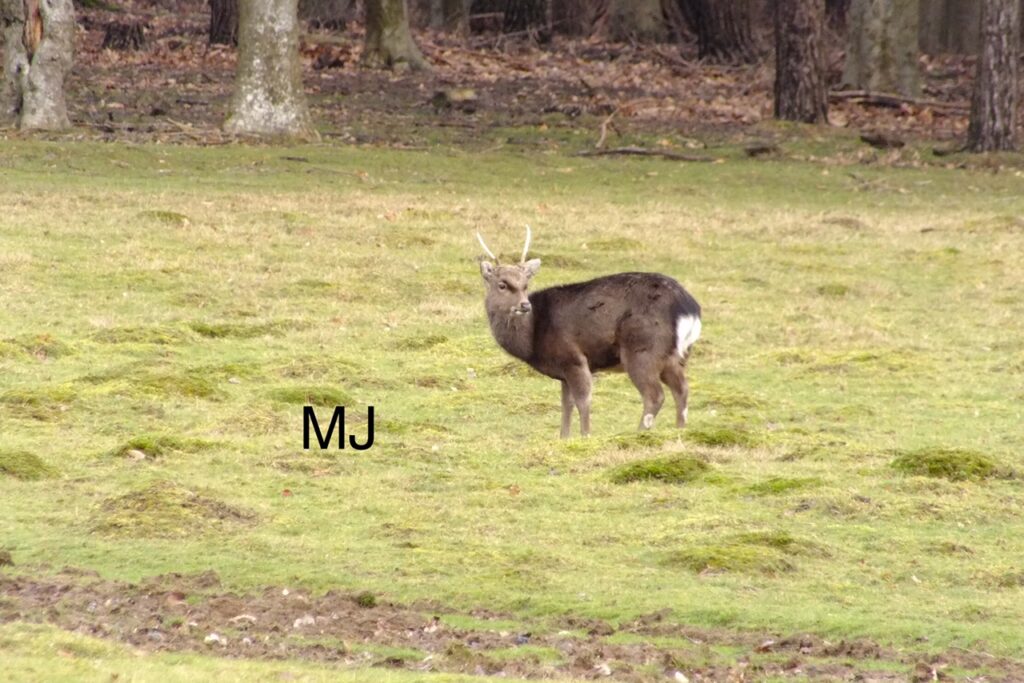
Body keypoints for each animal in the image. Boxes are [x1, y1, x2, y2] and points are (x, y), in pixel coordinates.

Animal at [477, 227, 701, 438]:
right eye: (502, 284)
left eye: (525, 285)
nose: (524, 305)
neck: (533, 338)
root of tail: (689, 308)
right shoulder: (563, 372)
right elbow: (566, 404)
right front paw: (564, 438)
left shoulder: (573, 358)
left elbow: (583, 400)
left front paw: (585, 435)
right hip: (674, 355)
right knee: (682, 388)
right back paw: (680, 430)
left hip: (643, 348)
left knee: (655, 395)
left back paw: (638, 433)